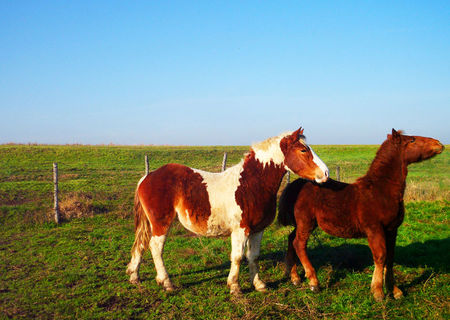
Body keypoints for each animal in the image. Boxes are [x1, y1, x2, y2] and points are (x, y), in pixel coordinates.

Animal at [128, 128, 328, 296]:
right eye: (303, 150)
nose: (325, 173)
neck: (251, 185)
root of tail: (147, 176)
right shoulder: (240, 230)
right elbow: (238, 257)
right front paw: (235, 287)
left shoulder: (258, 230)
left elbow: (253, 257)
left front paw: (259, 285)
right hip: (161, 223)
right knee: (155, 248)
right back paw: (166, 282)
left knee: (142, 245)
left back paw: (135, 276)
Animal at [278, 129, 442, 302]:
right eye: (412, 140)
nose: (439, 143)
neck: (380, 190)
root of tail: (298, 184)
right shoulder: (374, 229)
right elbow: (380, 256)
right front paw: (378, 292)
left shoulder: (392, 230)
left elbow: (390, 258)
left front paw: (395, 291)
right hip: (306, 222)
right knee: (299, 244)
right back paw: (314, 283)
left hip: (304, 223)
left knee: (291, 239)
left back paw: (294, 277)